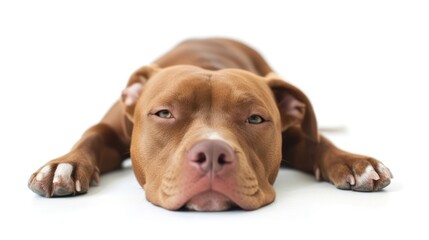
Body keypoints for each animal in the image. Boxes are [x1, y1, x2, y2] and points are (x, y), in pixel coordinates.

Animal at [29, 38, 392, 211]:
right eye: (164, 114)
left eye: (255, 118)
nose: (214, 154)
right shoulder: (110, 128)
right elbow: (91, 135)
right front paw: (63, 166)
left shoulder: (297, 137)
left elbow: (319, 141)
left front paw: (354, 162)